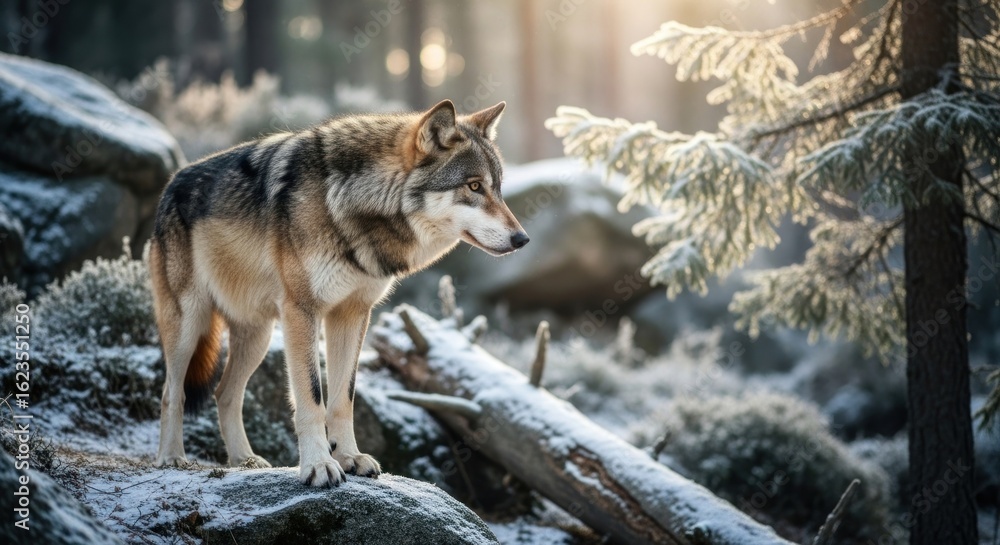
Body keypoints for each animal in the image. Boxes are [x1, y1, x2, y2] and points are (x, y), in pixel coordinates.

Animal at [148, 100, 527, 487]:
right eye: (474, 186)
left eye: (498, 188)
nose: (522, 239)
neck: (350, 203)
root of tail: (171, 183)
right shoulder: (302, 311)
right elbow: (312, 398)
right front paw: (318, 465)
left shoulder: (352, 314)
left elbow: (343, 398)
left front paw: (349, 457)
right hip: (189, 325)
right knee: (171, 392)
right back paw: (172, 458)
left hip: (259, 337)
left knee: (224, 393)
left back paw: (245, 460)